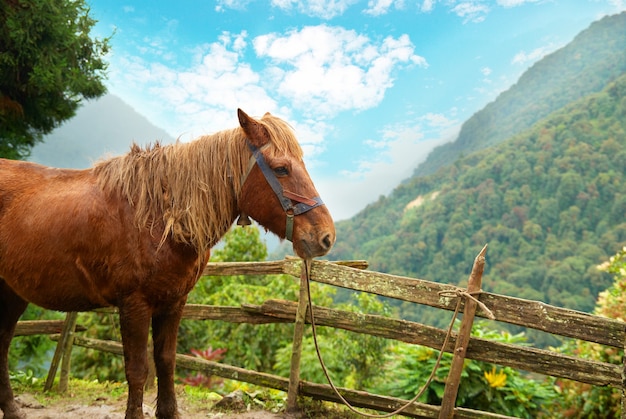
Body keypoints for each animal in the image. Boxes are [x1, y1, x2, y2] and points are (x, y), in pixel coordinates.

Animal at [0, 109, 334, 419]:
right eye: (281, 169)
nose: (325, 236)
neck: (161, 216)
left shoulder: (174, 302)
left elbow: (166, 361)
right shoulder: (134, 305)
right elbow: (137, 369)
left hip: (12, 293)